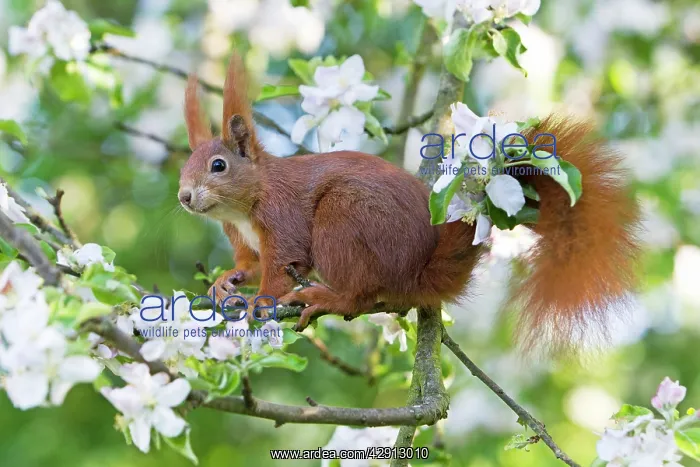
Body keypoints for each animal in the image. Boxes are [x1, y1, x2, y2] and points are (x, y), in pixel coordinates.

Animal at [178, 54, 640, 350]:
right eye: (186, 166)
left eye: (218, 165)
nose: (184, 196)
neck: (245, 206)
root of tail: (416, 273)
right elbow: (252, 265)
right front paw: (228, 280)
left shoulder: (282, 217)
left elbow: (280, 267)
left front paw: (260, 301)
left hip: (344, 218)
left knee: (361, 297)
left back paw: (329, 298)